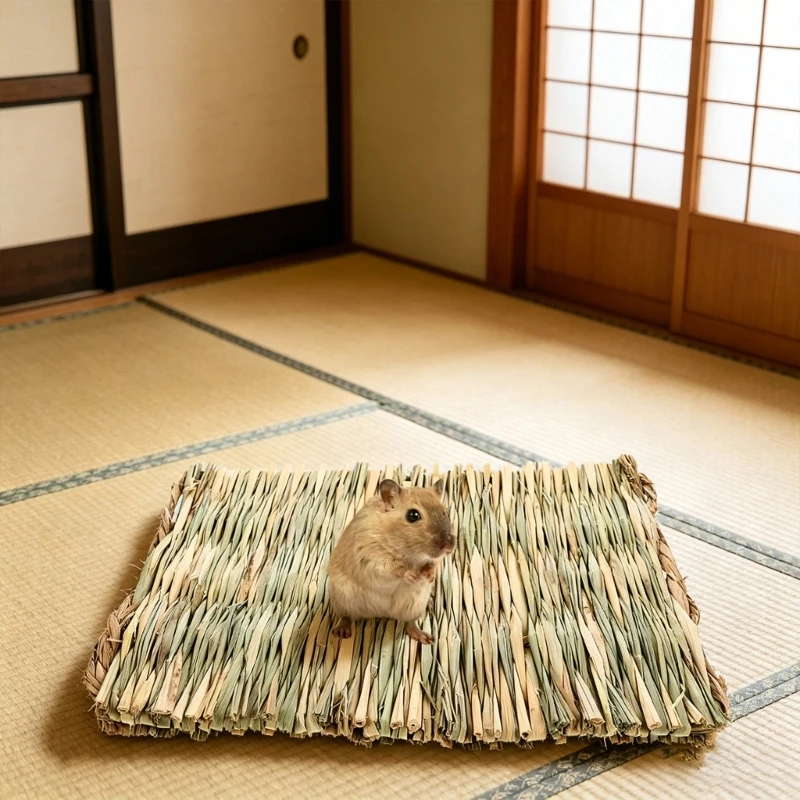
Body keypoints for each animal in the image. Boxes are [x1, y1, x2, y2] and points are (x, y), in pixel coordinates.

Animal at [327, 478, 455, 645]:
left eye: (445, 512)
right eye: (413, 515)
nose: (449, 546)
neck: (411, 553)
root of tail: (381, 613)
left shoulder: (434, 559)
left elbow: (433, 564)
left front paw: (429, 576)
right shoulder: (372, 556)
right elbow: (395, 569)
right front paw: (413, 576)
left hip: (415, 606)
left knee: (409, 623)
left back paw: (425, 637)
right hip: (342, 601)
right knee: (346, 618)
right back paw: (341, 632)